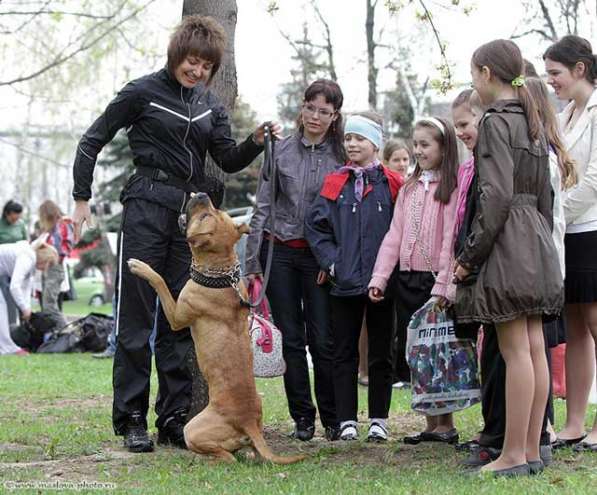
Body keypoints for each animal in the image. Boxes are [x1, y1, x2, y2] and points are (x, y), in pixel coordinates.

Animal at [125, 194, 302, 464]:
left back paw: (203, 459)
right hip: (253, 427)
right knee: (250, 452)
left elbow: (161, 282)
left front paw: (141, 267)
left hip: (194, 428)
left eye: (205, 216)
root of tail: (247, 422)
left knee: (227, 458)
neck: (220, 274)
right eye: (216, 211)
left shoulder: (177, 314)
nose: (201, 195)